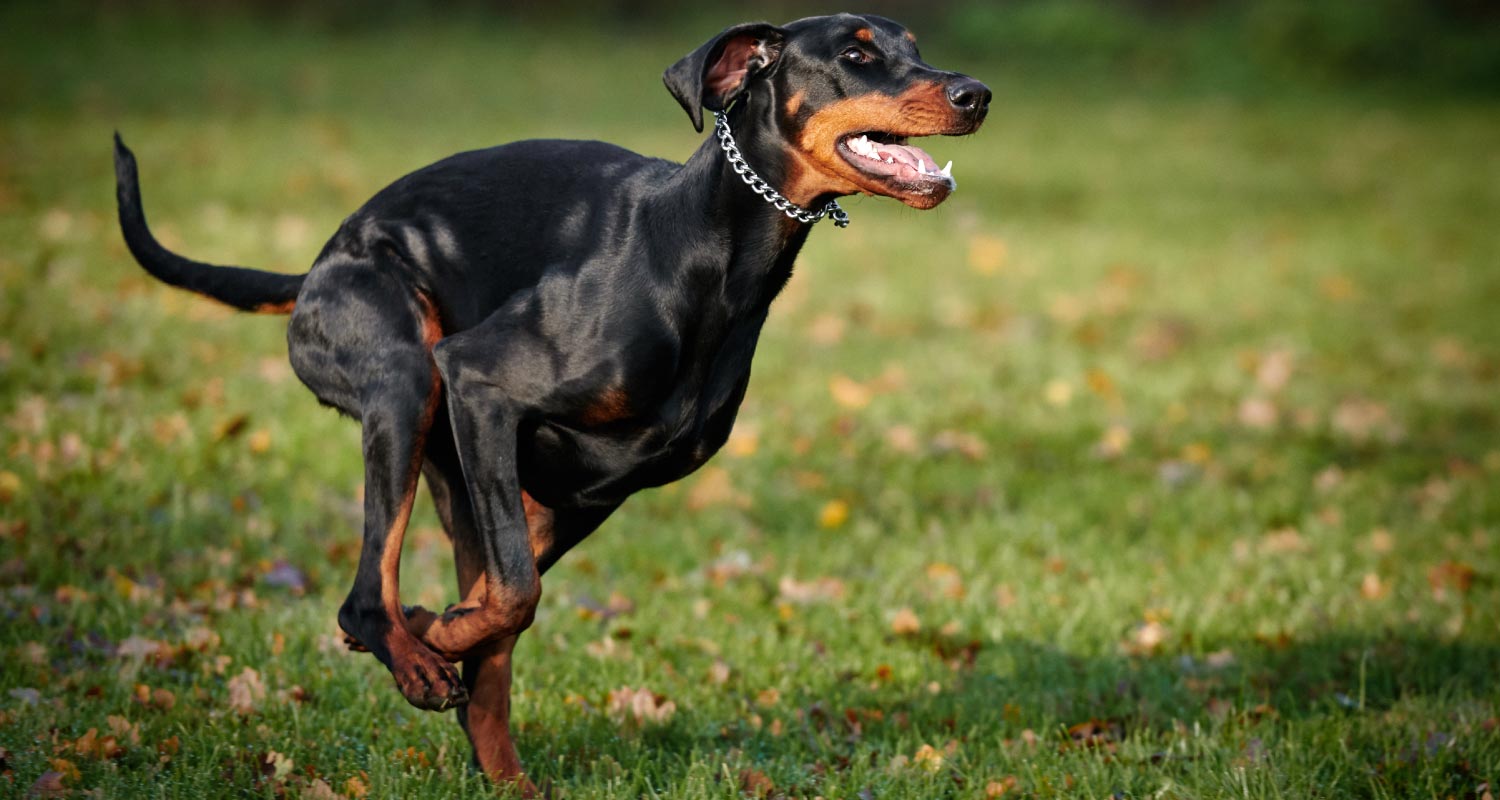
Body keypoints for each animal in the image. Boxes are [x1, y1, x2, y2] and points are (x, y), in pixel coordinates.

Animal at [114, 14, 984, 792]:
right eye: (855, 54)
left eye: (913, 45)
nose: (975, 94)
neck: (700, 251)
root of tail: (316, 270)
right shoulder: (480, 384)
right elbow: (514, 595)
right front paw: (434, 638)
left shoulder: (593, 488)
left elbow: (504, 604)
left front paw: (438, 630)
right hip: (406, 380)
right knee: (365, 598)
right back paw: (414, 658)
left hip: (465, 472)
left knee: (480, 665)